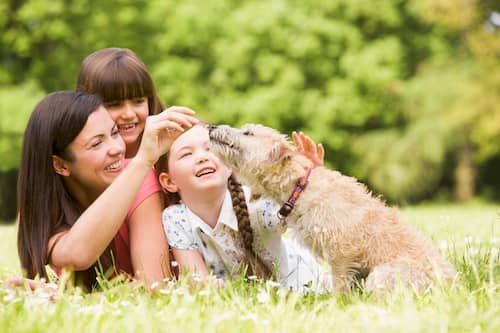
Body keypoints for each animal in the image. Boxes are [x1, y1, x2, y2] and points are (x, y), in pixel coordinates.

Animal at [208, 123, 458, 292]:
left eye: (248, 133)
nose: (211, 126)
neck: (300, 186)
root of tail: (453, 285)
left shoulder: (342, 252)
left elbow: (339, 286)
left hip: (382, 274)